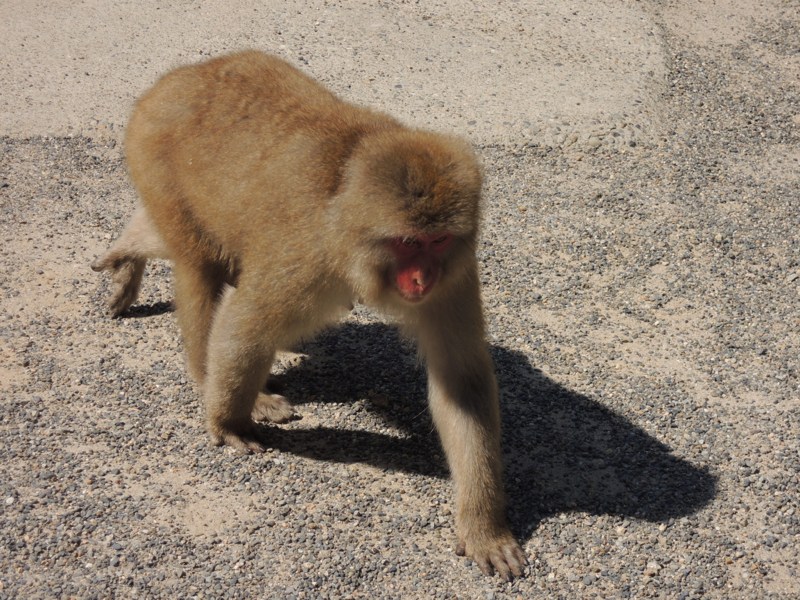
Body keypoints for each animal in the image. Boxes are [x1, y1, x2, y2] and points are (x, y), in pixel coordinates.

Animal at [92, 50, 525, 579]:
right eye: (409, 242)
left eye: (438, 240)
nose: (422, 280)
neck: (350, 228)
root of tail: (179, 77)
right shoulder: (309, 257)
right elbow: (247, 321)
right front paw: (228, 423)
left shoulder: (455, 275)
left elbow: (460, 382)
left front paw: (483, 527)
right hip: (155, 156)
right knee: (201, 267)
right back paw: (207, 376)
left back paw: (126, 251)